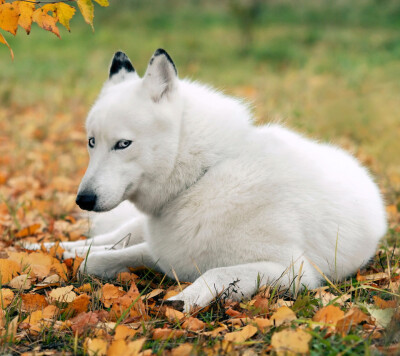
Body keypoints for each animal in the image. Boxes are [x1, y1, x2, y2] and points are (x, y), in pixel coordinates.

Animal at [33, 48, 388, 310]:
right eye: (92, 142)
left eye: (123, 144)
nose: (83, 200)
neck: (203, 177)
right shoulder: (162, 252)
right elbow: (93, 261)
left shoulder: (293, 271)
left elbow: (217, 273)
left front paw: (183, 299)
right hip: (132, 228)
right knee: (101, 240)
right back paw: (47, 247)